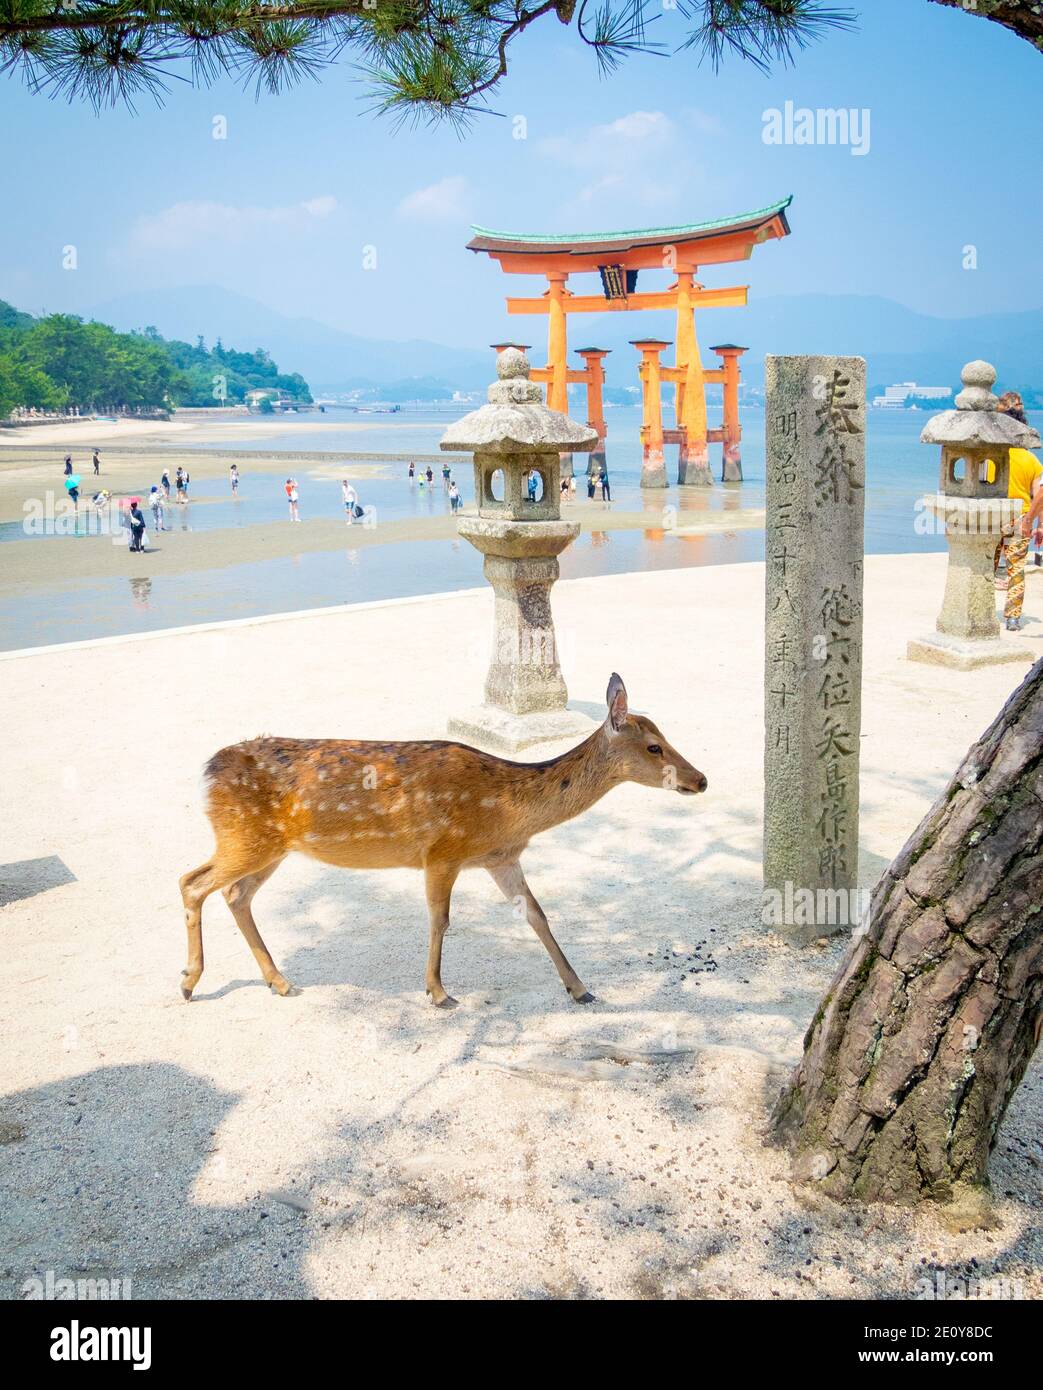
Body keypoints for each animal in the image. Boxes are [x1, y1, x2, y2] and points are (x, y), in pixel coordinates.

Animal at [182, 675, 712, 1011]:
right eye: (654, 746)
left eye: (664, 736)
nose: (701, 779)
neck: (507, 811)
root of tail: (207, 771)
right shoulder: (441, 852)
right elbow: (441, 920)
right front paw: (439, 994)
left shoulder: (501, 858)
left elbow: (537, 915)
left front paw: (581, 988)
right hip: (244, 837)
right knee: (193, 882)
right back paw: (189, 983)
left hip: (270, 846)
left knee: (235, 893)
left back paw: (279, 981)